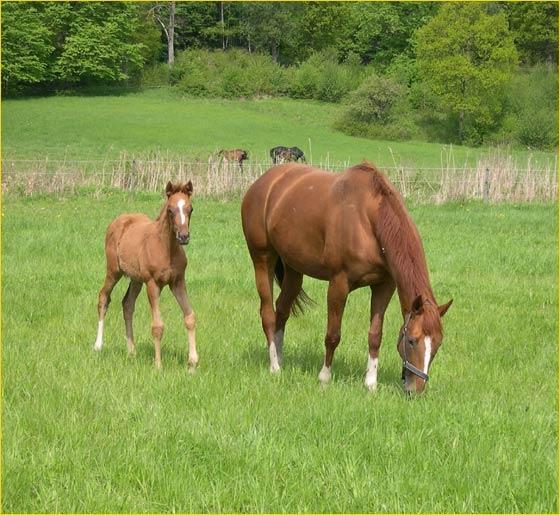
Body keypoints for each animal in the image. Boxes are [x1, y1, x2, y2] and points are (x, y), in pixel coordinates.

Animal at [92, 181, 197, 370]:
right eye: (170, 210)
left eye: (190, 208)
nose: (184, 237)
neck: (166, 248)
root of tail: (119, 220)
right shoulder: (152, 284)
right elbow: (157, 326)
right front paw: (158, 365)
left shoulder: (177, 282)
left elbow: (190, 317)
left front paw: (192, 363)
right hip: (114, 271)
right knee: (104, 297)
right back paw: (98, 345)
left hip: (136, 279)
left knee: (127, 304)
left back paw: (131, 350)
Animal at [241, 162, 450, 396]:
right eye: (412, 341)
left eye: (438, 344)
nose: (416, 389)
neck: (368, 220)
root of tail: (262, 183)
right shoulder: (339, 284)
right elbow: (333, 335)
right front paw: (324, 377)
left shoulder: (384, 286)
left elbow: (375, 335)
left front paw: (370, 383)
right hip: (262, 259)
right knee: (268, 313)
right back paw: (274, 366)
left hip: (294, 268)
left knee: (282, 310)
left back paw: (279, 357)